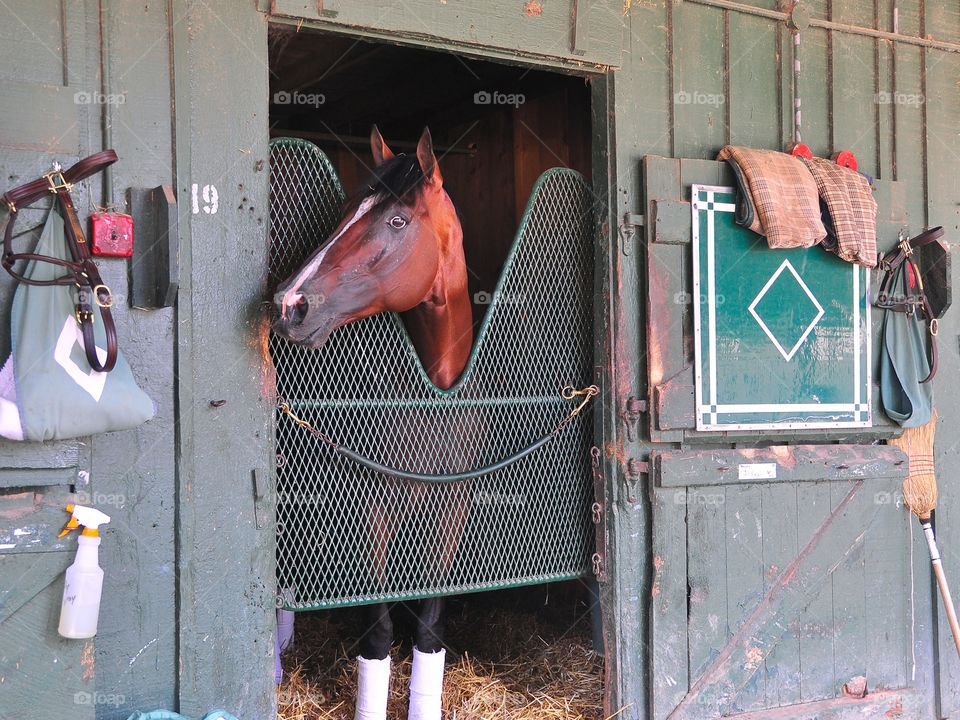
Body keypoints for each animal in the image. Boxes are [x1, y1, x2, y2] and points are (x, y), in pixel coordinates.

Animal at [272, 128, 474, 720]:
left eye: (398, 221)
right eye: (344, 212)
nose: (290, 303)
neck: (430, 400)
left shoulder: (450, 510)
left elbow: (430, 628)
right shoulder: (368, 513)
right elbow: (378, 633)